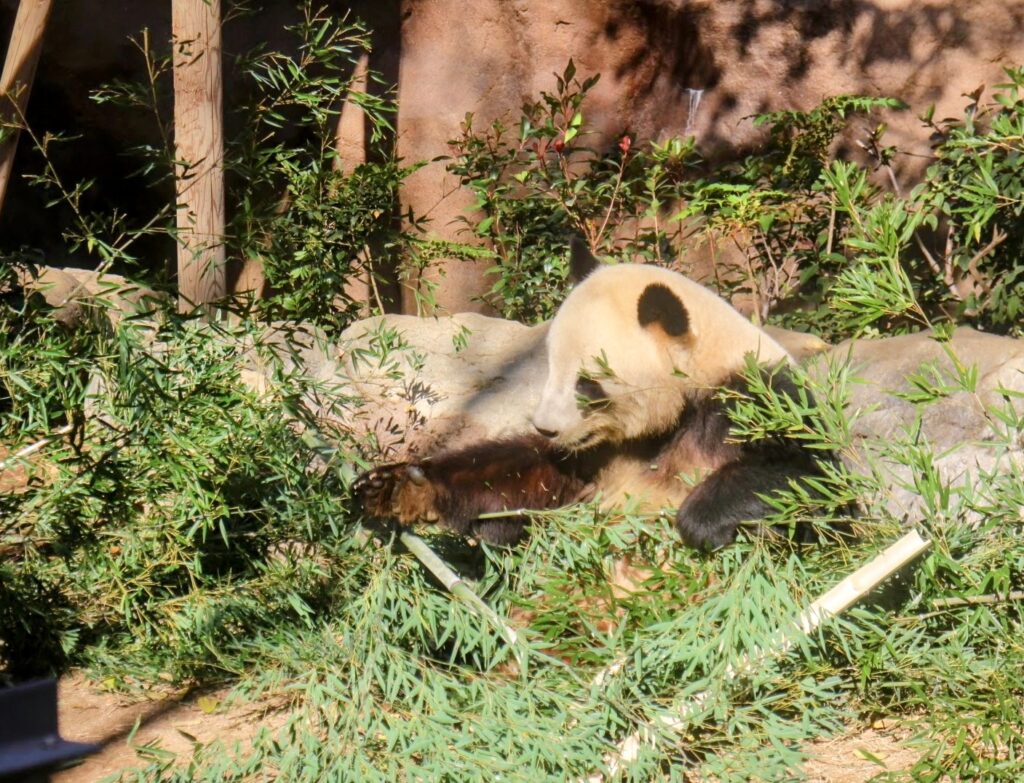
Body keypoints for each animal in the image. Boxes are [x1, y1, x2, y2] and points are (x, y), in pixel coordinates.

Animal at [358, 241, 839, 548]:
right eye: (551, 366)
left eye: (587, 383)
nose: (546, 429)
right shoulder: (595, 453)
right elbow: (526, 479)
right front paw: (399, 485)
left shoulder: (754, 400)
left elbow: (814, 482)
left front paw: (701, 520)